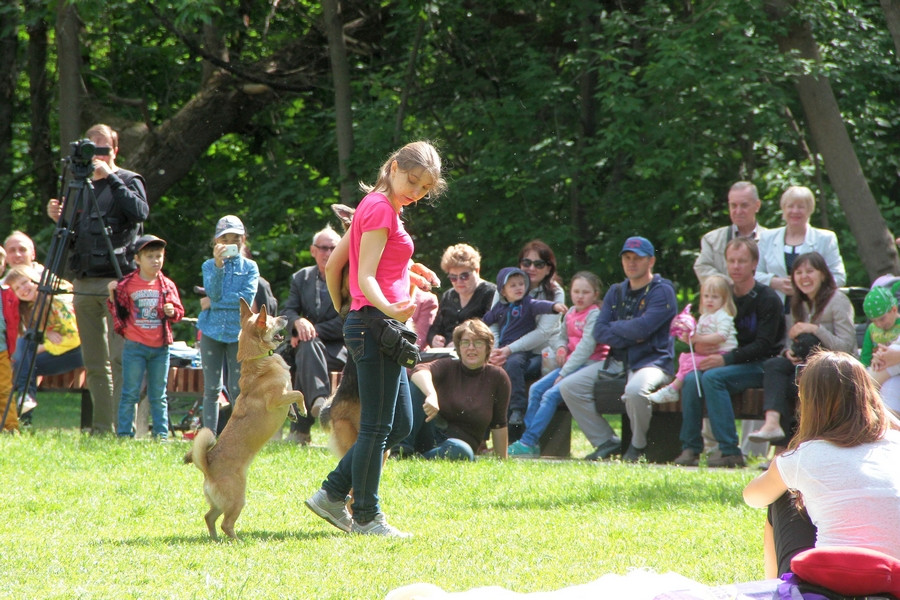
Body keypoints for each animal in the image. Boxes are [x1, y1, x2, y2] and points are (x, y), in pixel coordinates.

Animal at [185, 298, 304, 540]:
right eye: (272, 320)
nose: (286, 316)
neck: (259, 359)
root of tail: (208, 469)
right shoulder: (277, 398)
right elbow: (298, 393)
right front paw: (304, 410)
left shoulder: (284, 394)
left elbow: (293, 395)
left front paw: (293, 413)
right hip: (238, 499)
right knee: (226, 523)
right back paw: (236, 541)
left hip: (220, 504)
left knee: (209, 517)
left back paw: (215, 540)